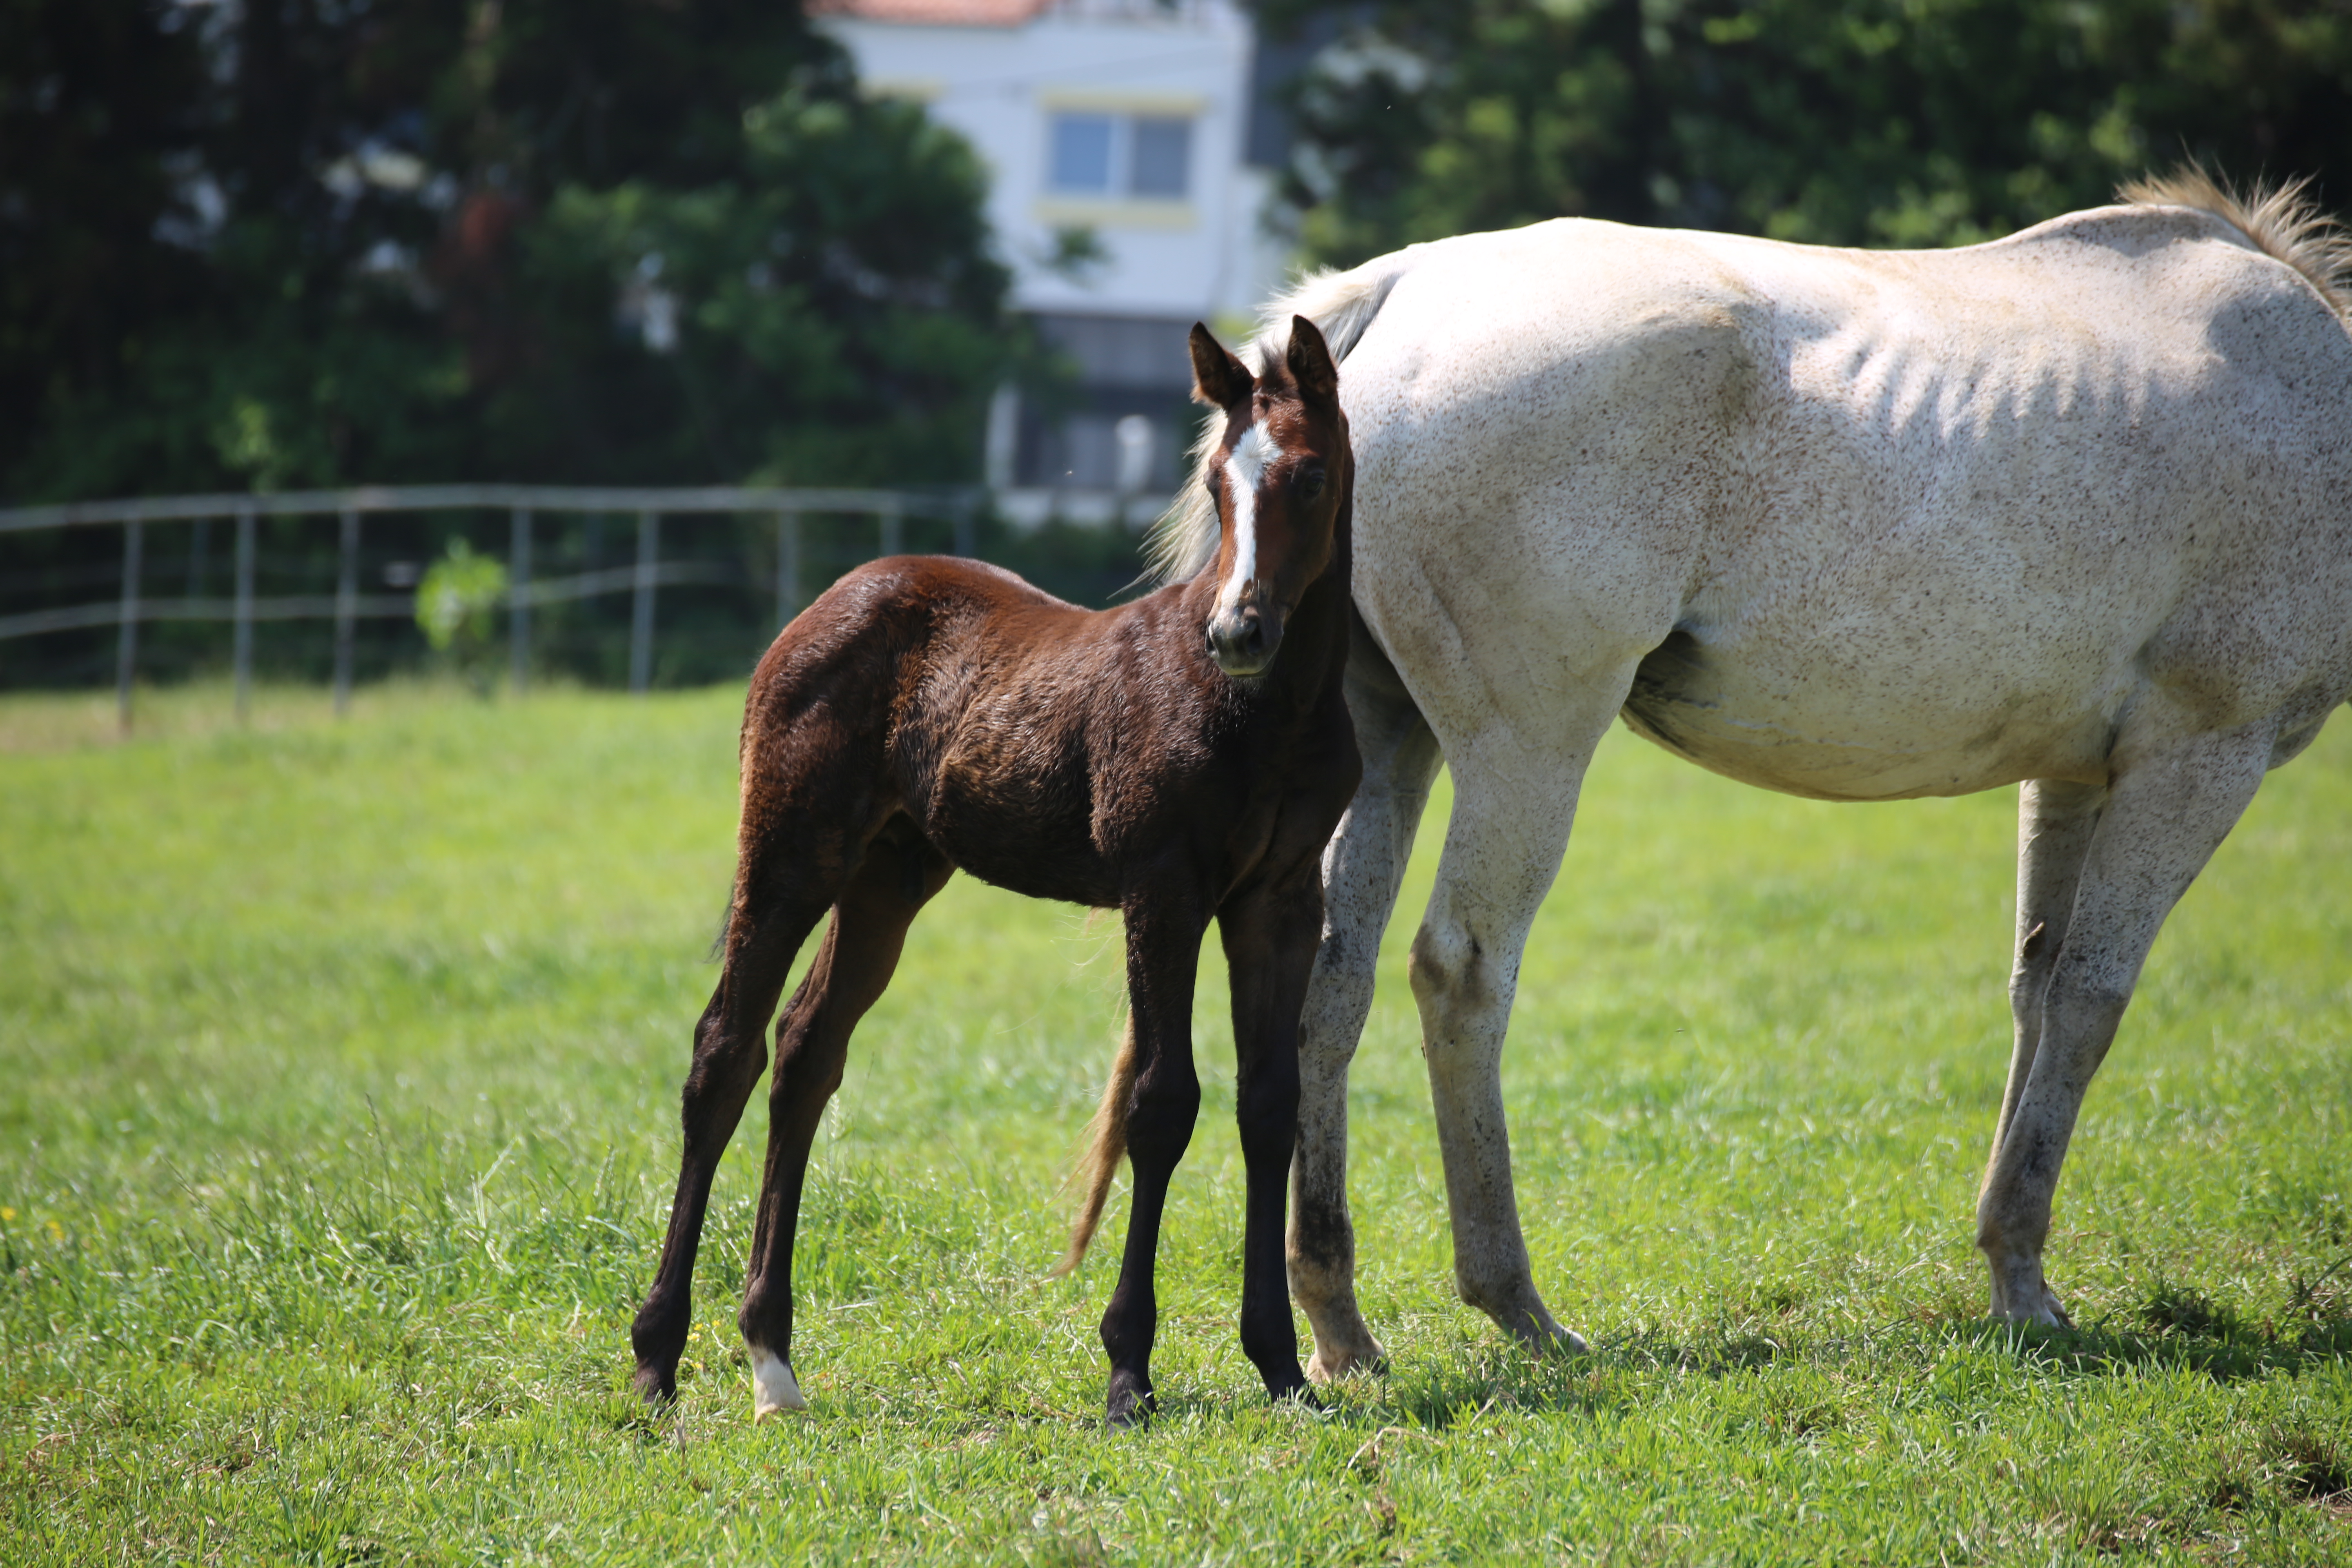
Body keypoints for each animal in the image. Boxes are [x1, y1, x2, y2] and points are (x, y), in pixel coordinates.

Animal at [630, 312, 1364, 1429]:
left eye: (1312, 476)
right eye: (1213, 485)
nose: (1237, 630)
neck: (1263, 713)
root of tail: (824, 604)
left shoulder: (1277, 902)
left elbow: (1268, 1103)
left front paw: (1279, 1366)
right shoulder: (1162, 890)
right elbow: (1161, 1102)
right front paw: (1127, 1369)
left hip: (889, 874)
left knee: (805, 1052)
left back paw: (772, 1360)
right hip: (792, 852)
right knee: (725, 1053)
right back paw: (656, 1357)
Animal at [1157, 169, 2352, 1373]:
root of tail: (1407, 290)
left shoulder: (2069, 776)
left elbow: (2036, 987)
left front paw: (2010, 1267)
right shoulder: (2196, 758)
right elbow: (2090, 1001)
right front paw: (2022, 1276)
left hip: (1387, 737)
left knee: (1332, 981)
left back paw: (1338, 1320)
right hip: (1526, 748)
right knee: (1462, 973)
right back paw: (1516, 1302)